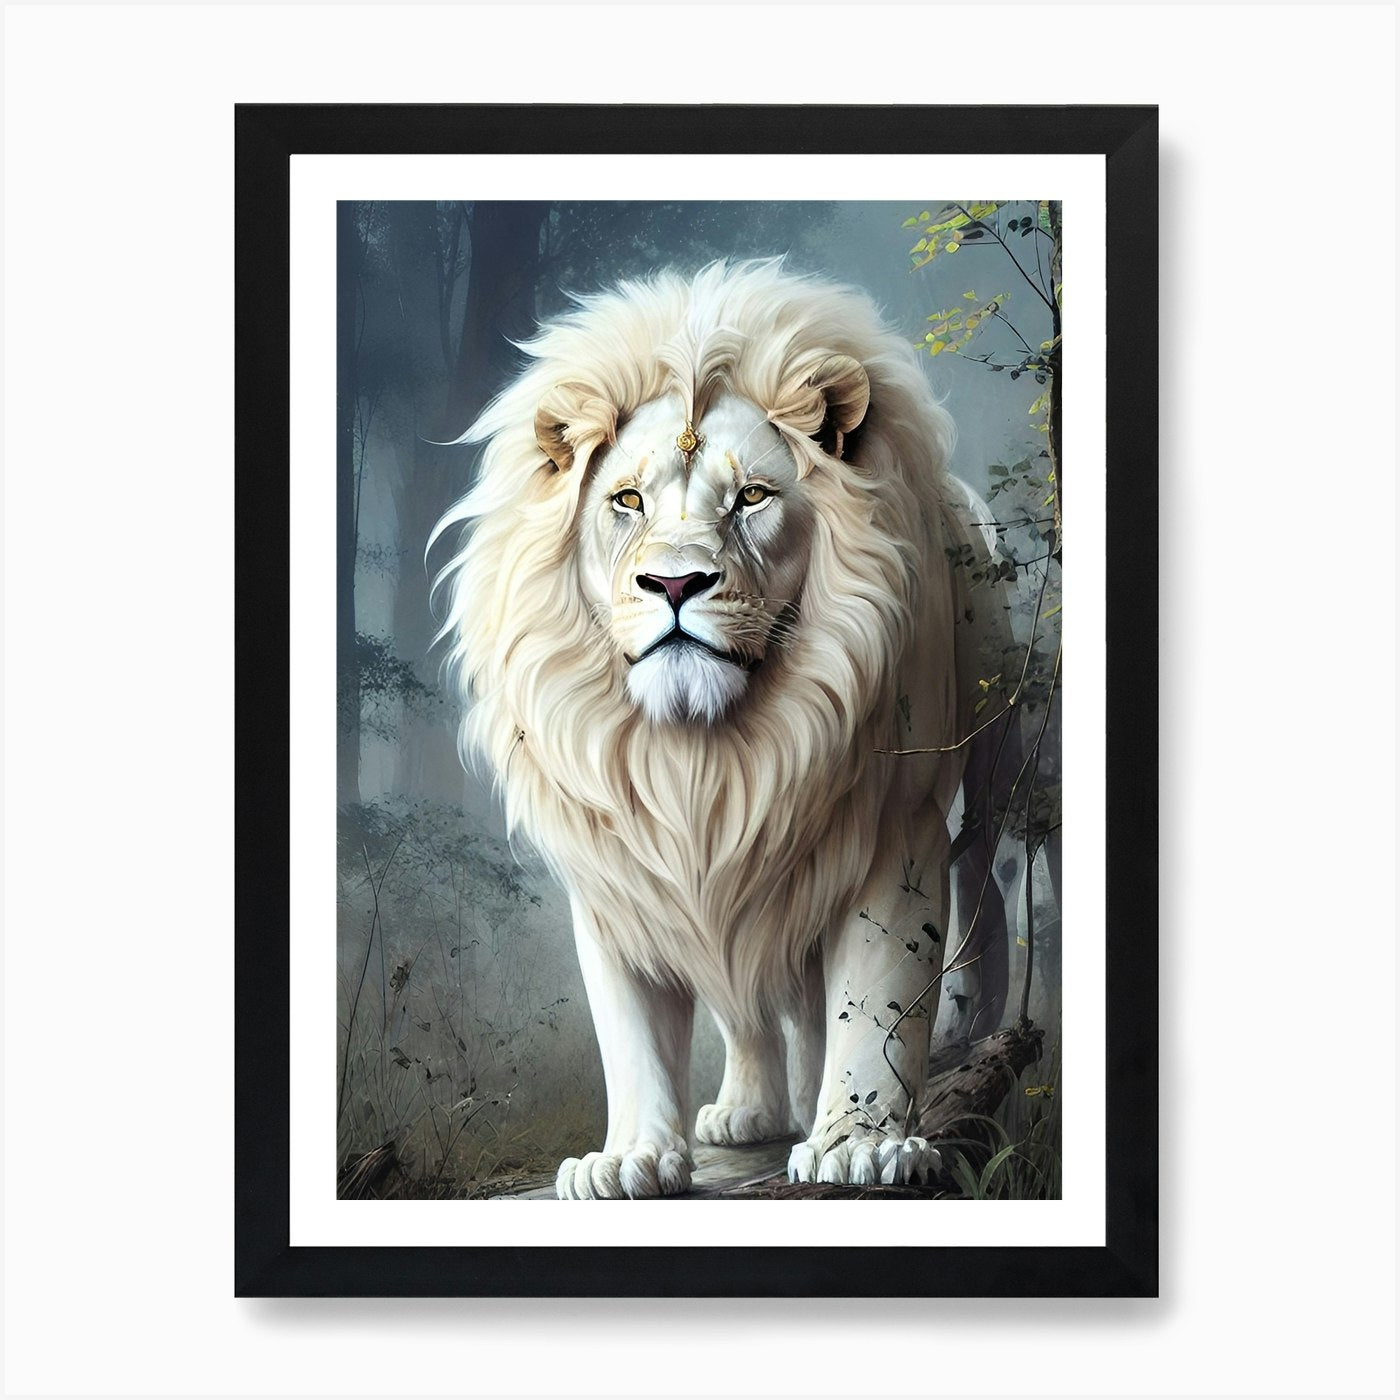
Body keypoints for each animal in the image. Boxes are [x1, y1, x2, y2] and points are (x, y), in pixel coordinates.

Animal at [431, 260, 1017, 1198]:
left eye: (752, 498)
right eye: (627, 500)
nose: (675, 584)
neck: (709, 755)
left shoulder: (897, 828)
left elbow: (880, 992)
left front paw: (860, 1144)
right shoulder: (630, 868)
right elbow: (634, 1028)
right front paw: (629, 1159)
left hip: (1000, 770)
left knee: (989, 879)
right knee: (750, 994)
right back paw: (753, 1110)